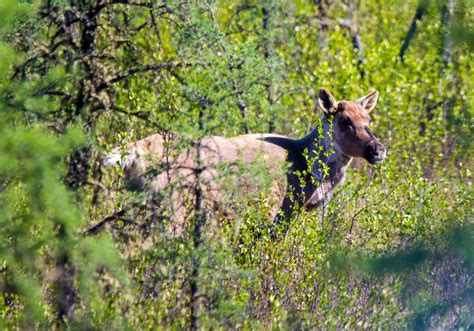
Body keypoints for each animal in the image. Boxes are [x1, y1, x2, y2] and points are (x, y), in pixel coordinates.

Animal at [104, 89, 386, 236]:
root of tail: (132, 155)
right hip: (169, 207)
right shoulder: (275, 211)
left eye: (368, 120)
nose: (379, 149)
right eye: (345, 120)